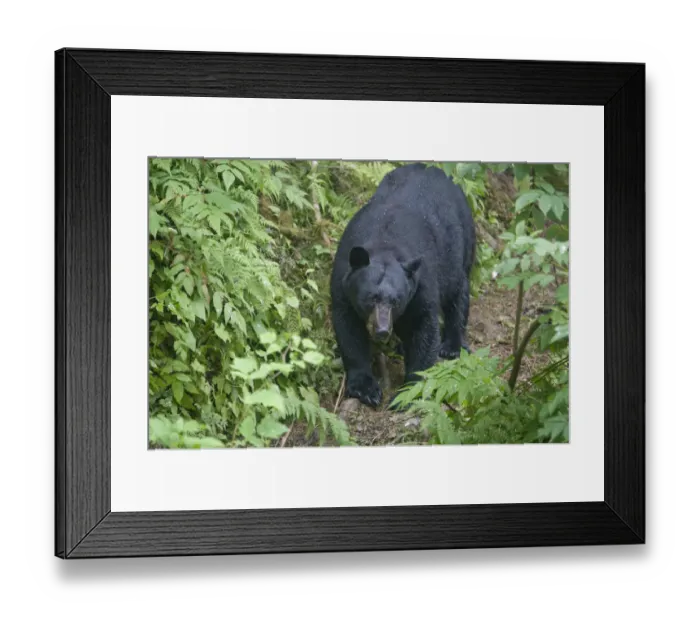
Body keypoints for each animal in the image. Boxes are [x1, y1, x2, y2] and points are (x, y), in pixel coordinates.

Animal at [330, 162, 476, 408]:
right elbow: (348, 329)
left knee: (458, 293)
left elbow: (424, 328)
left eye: (396, 301)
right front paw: (365, 387)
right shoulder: (342, 278)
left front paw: (409, 390)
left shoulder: (421, 283)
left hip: (461, 244)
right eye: (370, 298)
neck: (384, 242)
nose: (382, 330)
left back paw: (451, 345)